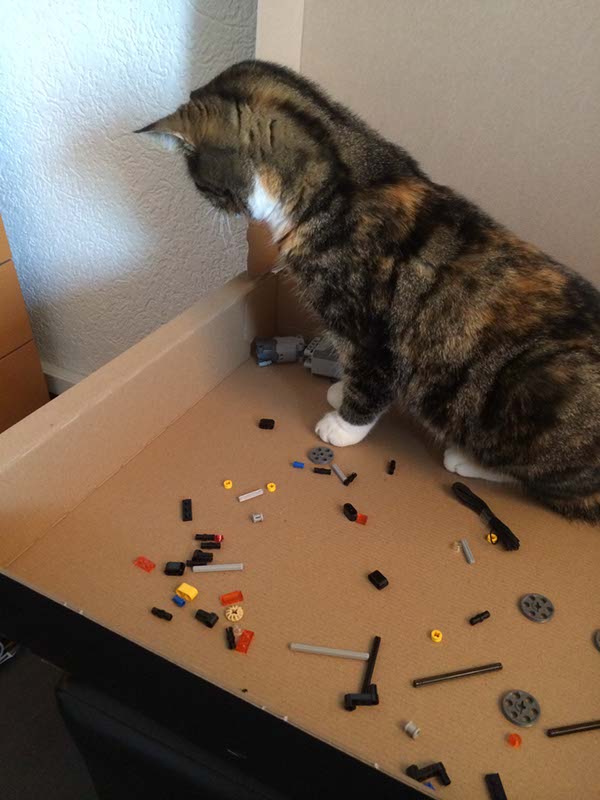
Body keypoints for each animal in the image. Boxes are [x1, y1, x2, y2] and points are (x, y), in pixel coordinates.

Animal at [137, 60, 600, 522]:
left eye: (202, 184)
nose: (215, 209)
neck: (337, 182)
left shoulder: (369, 328)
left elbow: (370, 379)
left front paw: (342, 425)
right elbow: (349, 363)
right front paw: (340, 388)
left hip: (533, 386)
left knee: (555, 488)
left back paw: (466, 459)